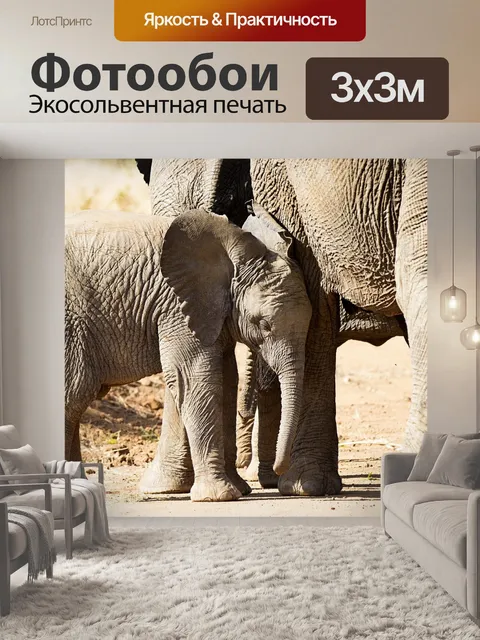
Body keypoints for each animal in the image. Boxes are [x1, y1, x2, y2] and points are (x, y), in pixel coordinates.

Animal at [64, 209, 312, 501]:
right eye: (263, 324)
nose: (278, 471)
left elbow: (226, 380)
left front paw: (238, 489)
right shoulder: (176, 305)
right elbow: (196, 378)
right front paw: (219, 497)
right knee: (74, 395)